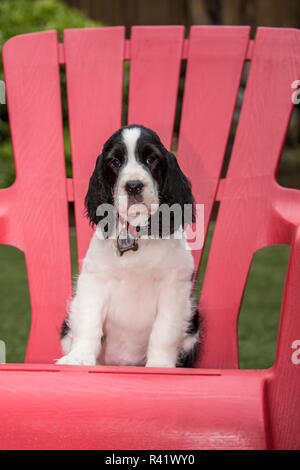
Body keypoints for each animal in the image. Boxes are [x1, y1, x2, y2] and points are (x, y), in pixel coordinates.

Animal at [57, 126, 200, 370]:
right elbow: (89, 322)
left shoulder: (174, 287)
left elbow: (164, 330)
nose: (133, 186)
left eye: (151, 159)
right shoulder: (94, 281)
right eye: (115, 161)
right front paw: (79, 358)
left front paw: (160, 365)